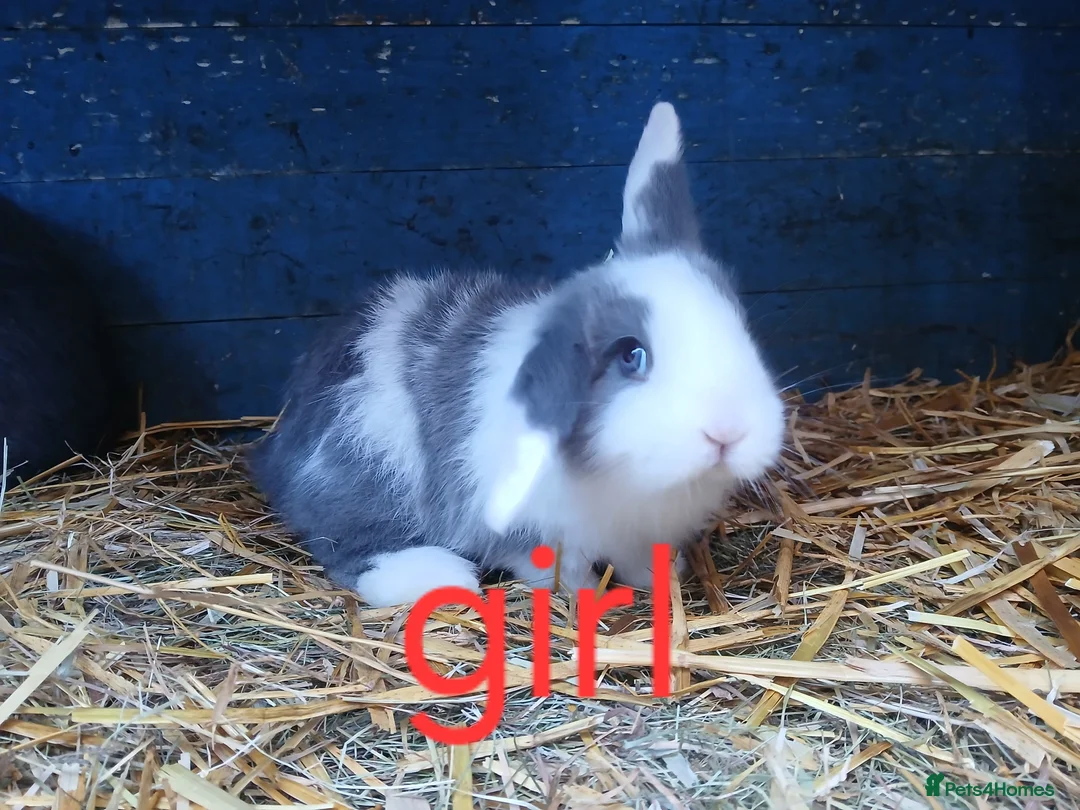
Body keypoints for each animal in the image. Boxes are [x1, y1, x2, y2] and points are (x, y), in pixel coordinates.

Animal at [248, 102, 786, 607]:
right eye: (632, 355)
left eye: (741, 324)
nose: (729, 432)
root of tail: (277, 451)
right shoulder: (524, 530)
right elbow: (556, 570)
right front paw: (591, 599)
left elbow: (638, 561)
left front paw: (665, 577)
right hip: (369, 462)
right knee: (346, 545)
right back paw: (440, 575)